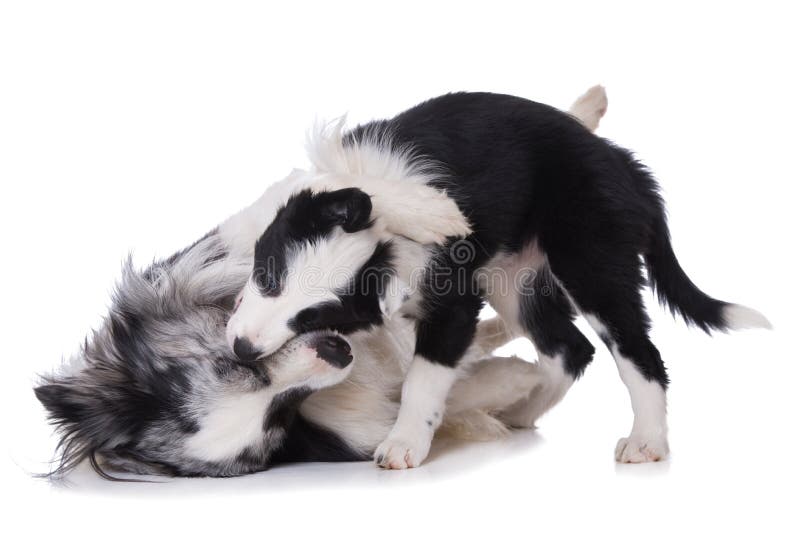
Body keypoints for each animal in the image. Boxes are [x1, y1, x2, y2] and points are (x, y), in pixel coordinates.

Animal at [34, 89, 608, 482]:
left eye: (237, 366)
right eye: (280, 418)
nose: (336, 352)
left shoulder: (259, 224)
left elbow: (342, 184)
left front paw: (431, 211)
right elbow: (437, 385)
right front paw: (510, 382)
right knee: (553, 344)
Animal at [230, 86, 768, 472]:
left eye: (314, 316)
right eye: (268, 275)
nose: (240, 349)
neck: (390, 245)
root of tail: (622, 162)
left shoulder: (453, 305)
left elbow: (424, 378)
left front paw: (404, 442)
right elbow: (358, 189)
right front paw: (430, 211)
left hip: (593, 265)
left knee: (639, 354)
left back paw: (647, 442)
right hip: (514, 280)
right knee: (568, 348)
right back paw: (522, 411)